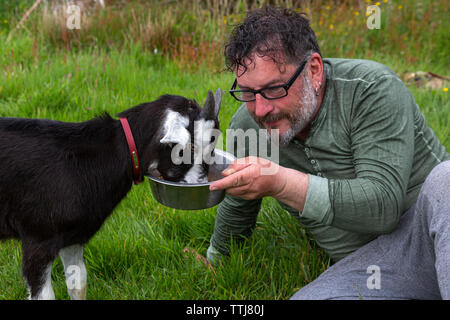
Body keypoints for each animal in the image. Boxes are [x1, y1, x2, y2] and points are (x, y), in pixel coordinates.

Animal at [0, 89, 221, 298]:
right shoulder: (38, 239)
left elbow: (78, 284)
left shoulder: (75, 236)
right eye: (185, 151)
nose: (202, 183)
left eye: (212, 149)